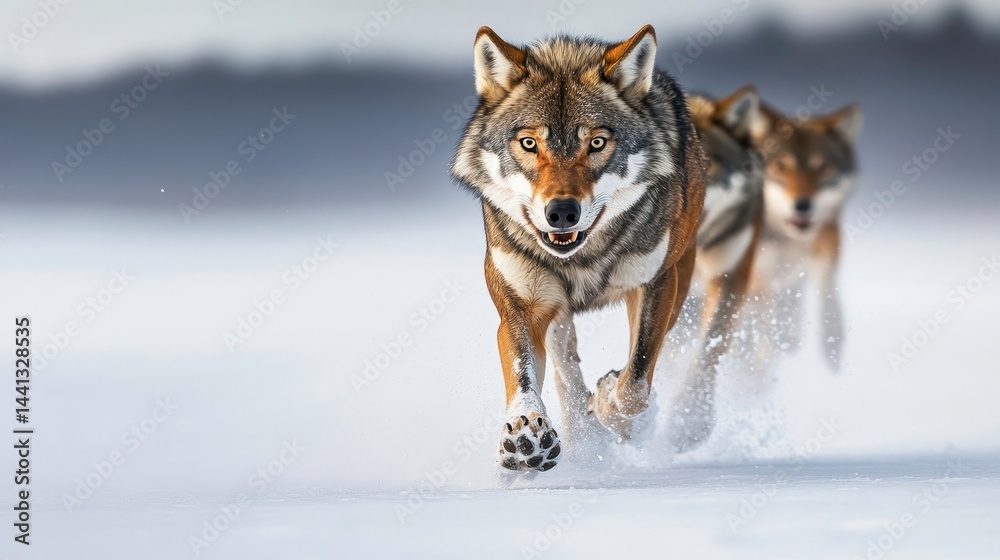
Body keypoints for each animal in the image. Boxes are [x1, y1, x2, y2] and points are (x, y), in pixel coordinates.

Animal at [450, 25, 706, 471]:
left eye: (597, 143)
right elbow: (523, 375)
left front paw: (608, 404)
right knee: (566, 370)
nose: (562, 213)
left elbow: (636, 382)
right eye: (530, 143)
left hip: (679, 281)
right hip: (556, 311)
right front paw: (527, 432)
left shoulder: (656, 286)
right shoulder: (521, 307)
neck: (581, 257)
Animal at [748, 100, 862, 369]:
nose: (802, 206)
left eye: (823, 168)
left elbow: (828, 302)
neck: (789, 242)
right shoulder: (759, 283)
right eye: (781, 167)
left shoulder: (821, 262)